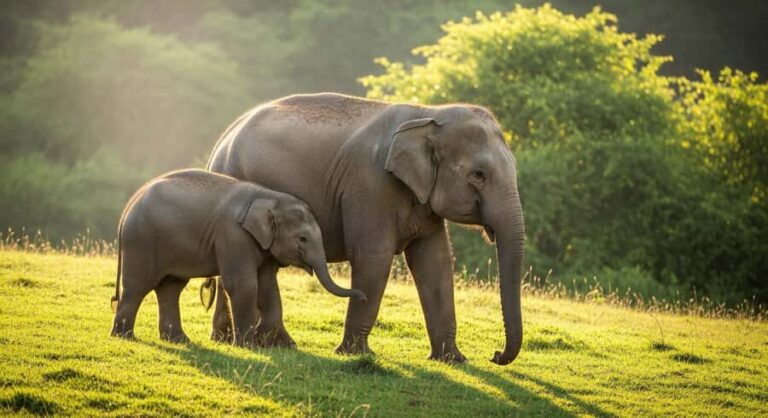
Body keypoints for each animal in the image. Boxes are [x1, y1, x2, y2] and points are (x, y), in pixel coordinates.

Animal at [110, 169, 365, 347]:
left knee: (171, 288)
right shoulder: (233, 235)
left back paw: (179, 340)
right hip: (141, 242)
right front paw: (248, 345)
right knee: (138, 286)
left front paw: (285, 345)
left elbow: (267, 286)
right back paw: (124, 337)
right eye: (302, 239)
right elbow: (243, 284)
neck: (269, 196)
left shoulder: (260, 244)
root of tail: (126, 209)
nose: (362, 296)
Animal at [206, 93, 525, 365]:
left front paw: (452, 360)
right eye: (478, 175)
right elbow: (374, 257)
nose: (495, 355)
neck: (427, 114)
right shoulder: (371, 186)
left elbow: (435, 263)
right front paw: (355, 354)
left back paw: (229, 338)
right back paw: (268, 342)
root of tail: (221, 141)